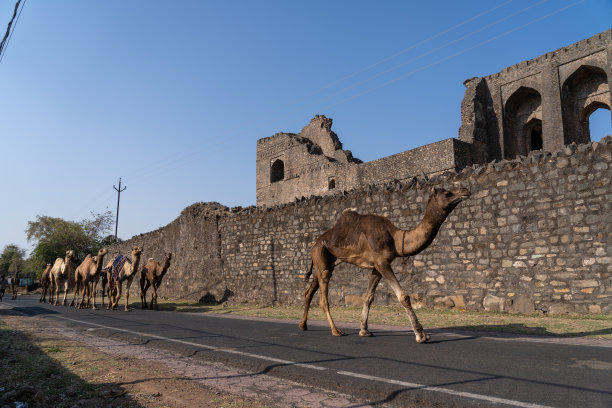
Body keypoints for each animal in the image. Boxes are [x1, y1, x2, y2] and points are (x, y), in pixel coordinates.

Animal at [298, 186, 470, 342]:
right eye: (447, 193)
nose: (465, 190)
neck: (395, 238)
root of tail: (314, 244)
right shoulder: (383, 263)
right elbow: (403, 296)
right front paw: (421, 334)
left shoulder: (376, 267)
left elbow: (369, 296)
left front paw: (364, 330)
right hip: (320, 253)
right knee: (323, 298)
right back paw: (336, 330)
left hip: (324, 260)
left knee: (309, 291)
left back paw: (303, 325)